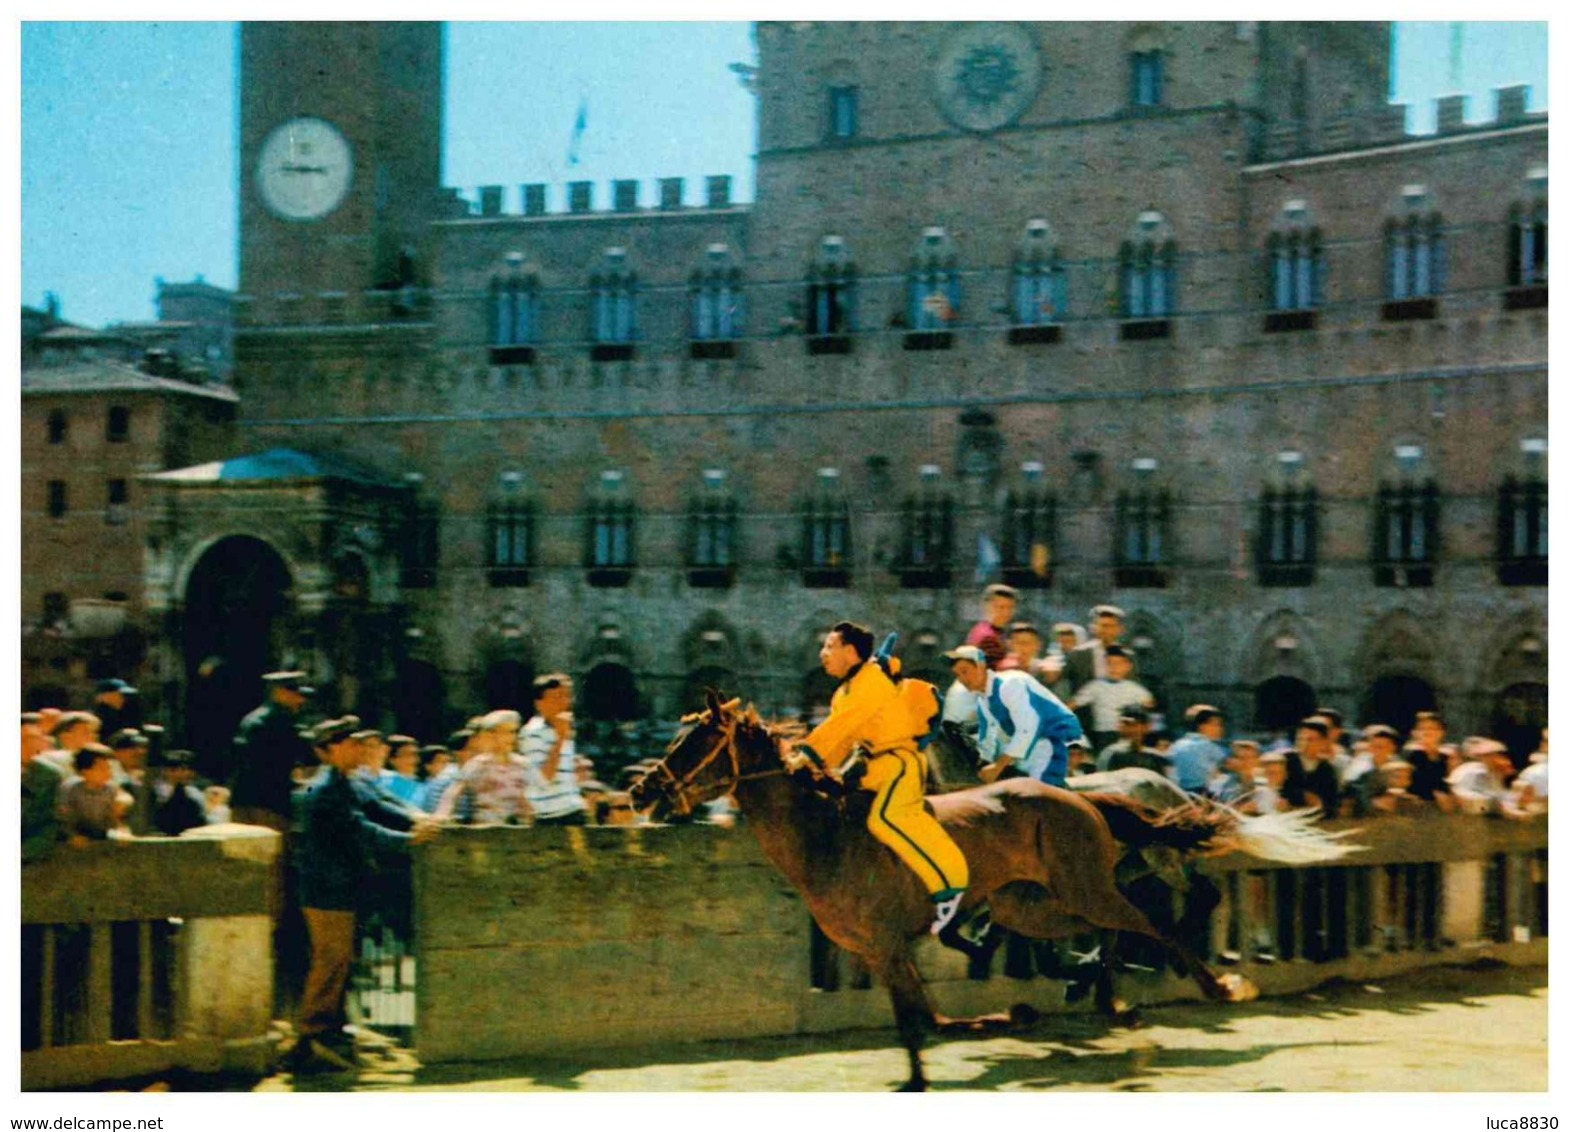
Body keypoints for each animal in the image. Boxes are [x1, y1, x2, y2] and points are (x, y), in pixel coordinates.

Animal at [630, 693, 1255, 1092]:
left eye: (696, 741)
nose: (640, 790)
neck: (825, 835)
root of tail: (1082, 799)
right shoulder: (882, 950)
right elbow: (923, 1017)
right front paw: (982, 1033)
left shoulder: (887, 943)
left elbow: (924, 1019)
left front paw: (1005, 1017)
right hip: (1038, 905)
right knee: (1102, 932)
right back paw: (1106, 996)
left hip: (1085, 889)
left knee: (1150, 924)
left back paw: (1216, 984)